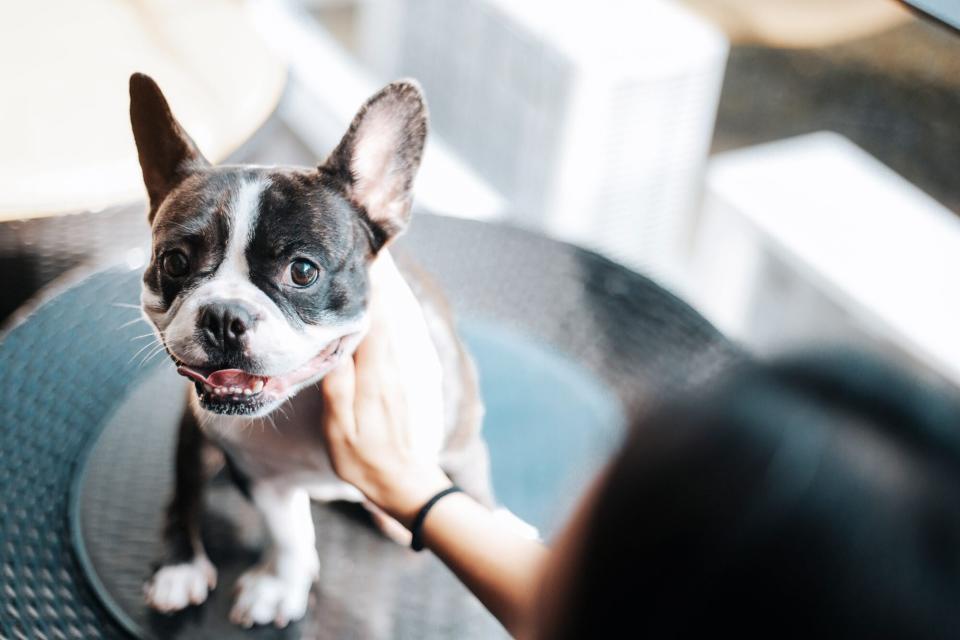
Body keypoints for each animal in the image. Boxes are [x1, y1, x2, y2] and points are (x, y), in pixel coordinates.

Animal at [129, 72, 496, 628]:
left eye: (303, 271)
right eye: (173, 262)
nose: (224, 316)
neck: (305, 398)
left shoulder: (462, 445)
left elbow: (475, 498)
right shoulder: (262, 477)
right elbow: (290, 531)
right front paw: (283, 584)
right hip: (197, 436)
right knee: (185, 490)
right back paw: (180, 566)